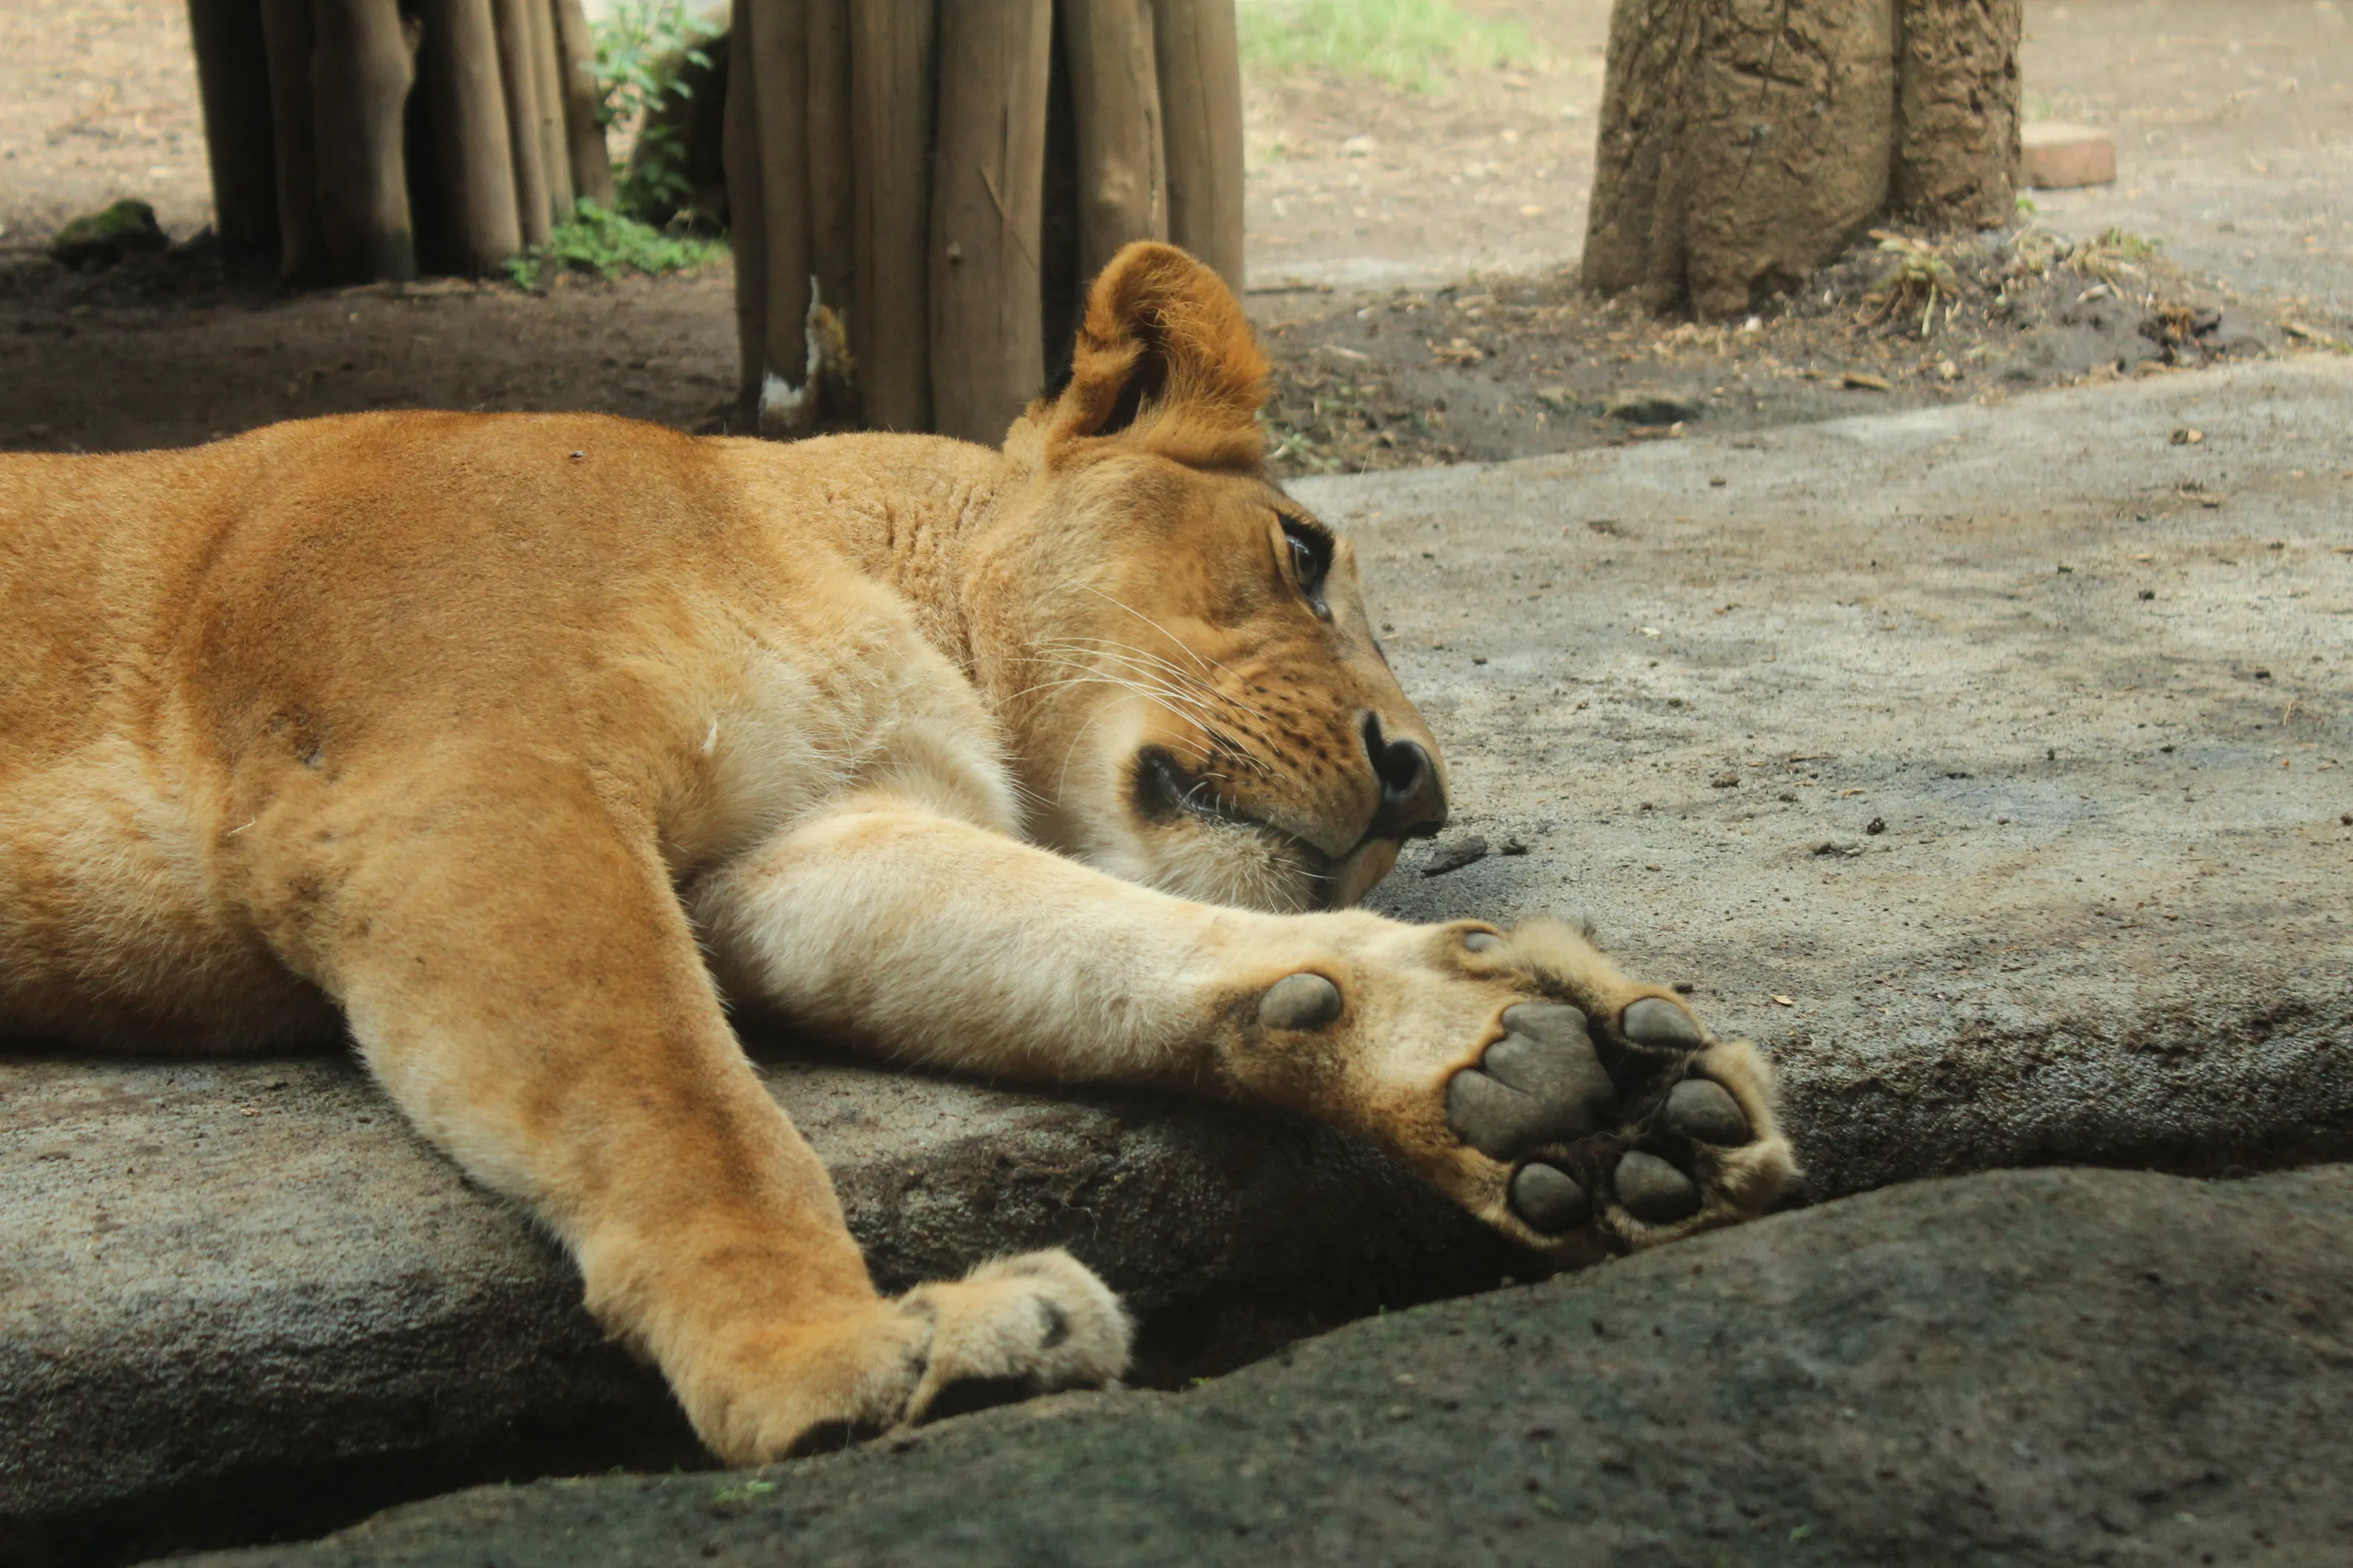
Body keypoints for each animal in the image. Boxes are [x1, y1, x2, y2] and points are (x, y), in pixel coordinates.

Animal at [0, 243, 1794, 1464]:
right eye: (1299, 551)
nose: (1422, 787)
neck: (854, 575)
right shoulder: (450, 772)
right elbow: (686, 1114)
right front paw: (844, 1368)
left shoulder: (802, 848)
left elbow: (1098, 944)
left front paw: (1547, 1077)